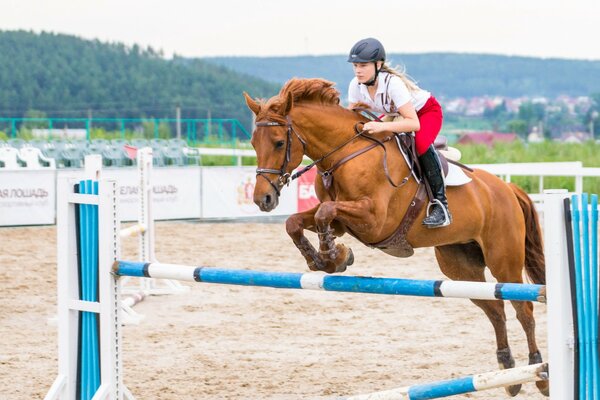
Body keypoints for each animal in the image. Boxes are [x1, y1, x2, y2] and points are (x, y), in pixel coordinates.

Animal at [244, 78, 548, 396]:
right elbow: (297, 222)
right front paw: (329, 260)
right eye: (253, 143)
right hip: (460, 266)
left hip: (504, 260)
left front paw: (332, 256)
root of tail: (508, 189)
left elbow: (324, 213)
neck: (345, 154)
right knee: (495, 309)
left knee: (523, 308)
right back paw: (509, 373)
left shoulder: (374, 220)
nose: (263, 199)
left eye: (279, 142)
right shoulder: (342, 222)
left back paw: (539, 373)